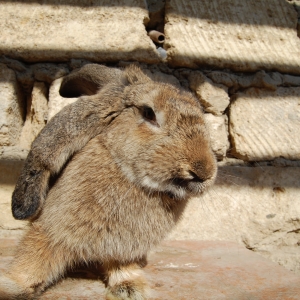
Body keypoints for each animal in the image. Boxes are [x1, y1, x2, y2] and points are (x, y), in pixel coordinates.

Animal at [1, 64, 217, 298]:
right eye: (149, 113)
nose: (203, 170)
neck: (135, 180)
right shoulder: (49, 232)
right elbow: (33, 257)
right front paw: (11, 287)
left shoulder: (122, 250)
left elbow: (120, 266)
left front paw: (130, 289)